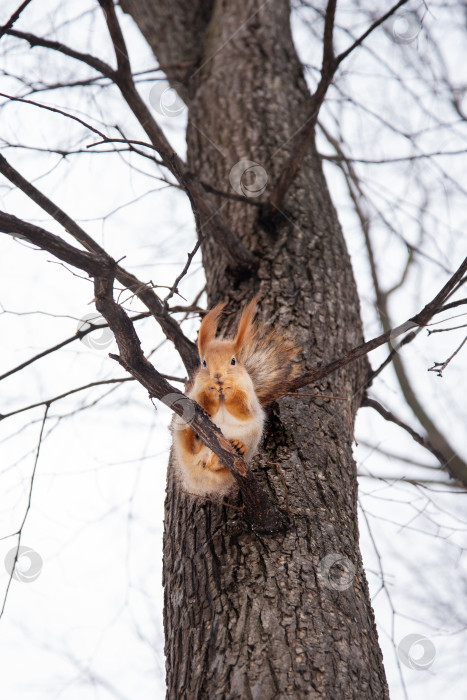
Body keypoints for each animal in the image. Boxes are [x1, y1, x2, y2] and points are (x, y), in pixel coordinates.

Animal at [172, 298, 300, 500]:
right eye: (204, 363)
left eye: (233, 361)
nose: (218, 377)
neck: (221, 396)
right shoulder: (195, 395)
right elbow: (204, 404)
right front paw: (211, 391)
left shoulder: (251, 400)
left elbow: (243, 410)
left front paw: (231, 390)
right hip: (184, 427)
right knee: (190, 445)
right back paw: (196, 440)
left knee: (217, 465)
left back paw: (235, 449)